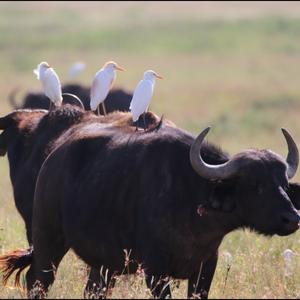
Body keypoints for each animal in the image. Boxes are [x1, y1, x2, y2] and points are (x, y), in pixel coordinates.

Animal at [0, 119, 300, 298]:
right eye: (256, 185)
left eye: (284, 183)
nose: (292, 218)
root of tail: (53, 157)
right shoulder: (155, 271)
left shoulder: (206, 267)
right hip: (47, 238)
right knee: (37, 280)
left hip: (103, 264)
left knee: (94, 290)